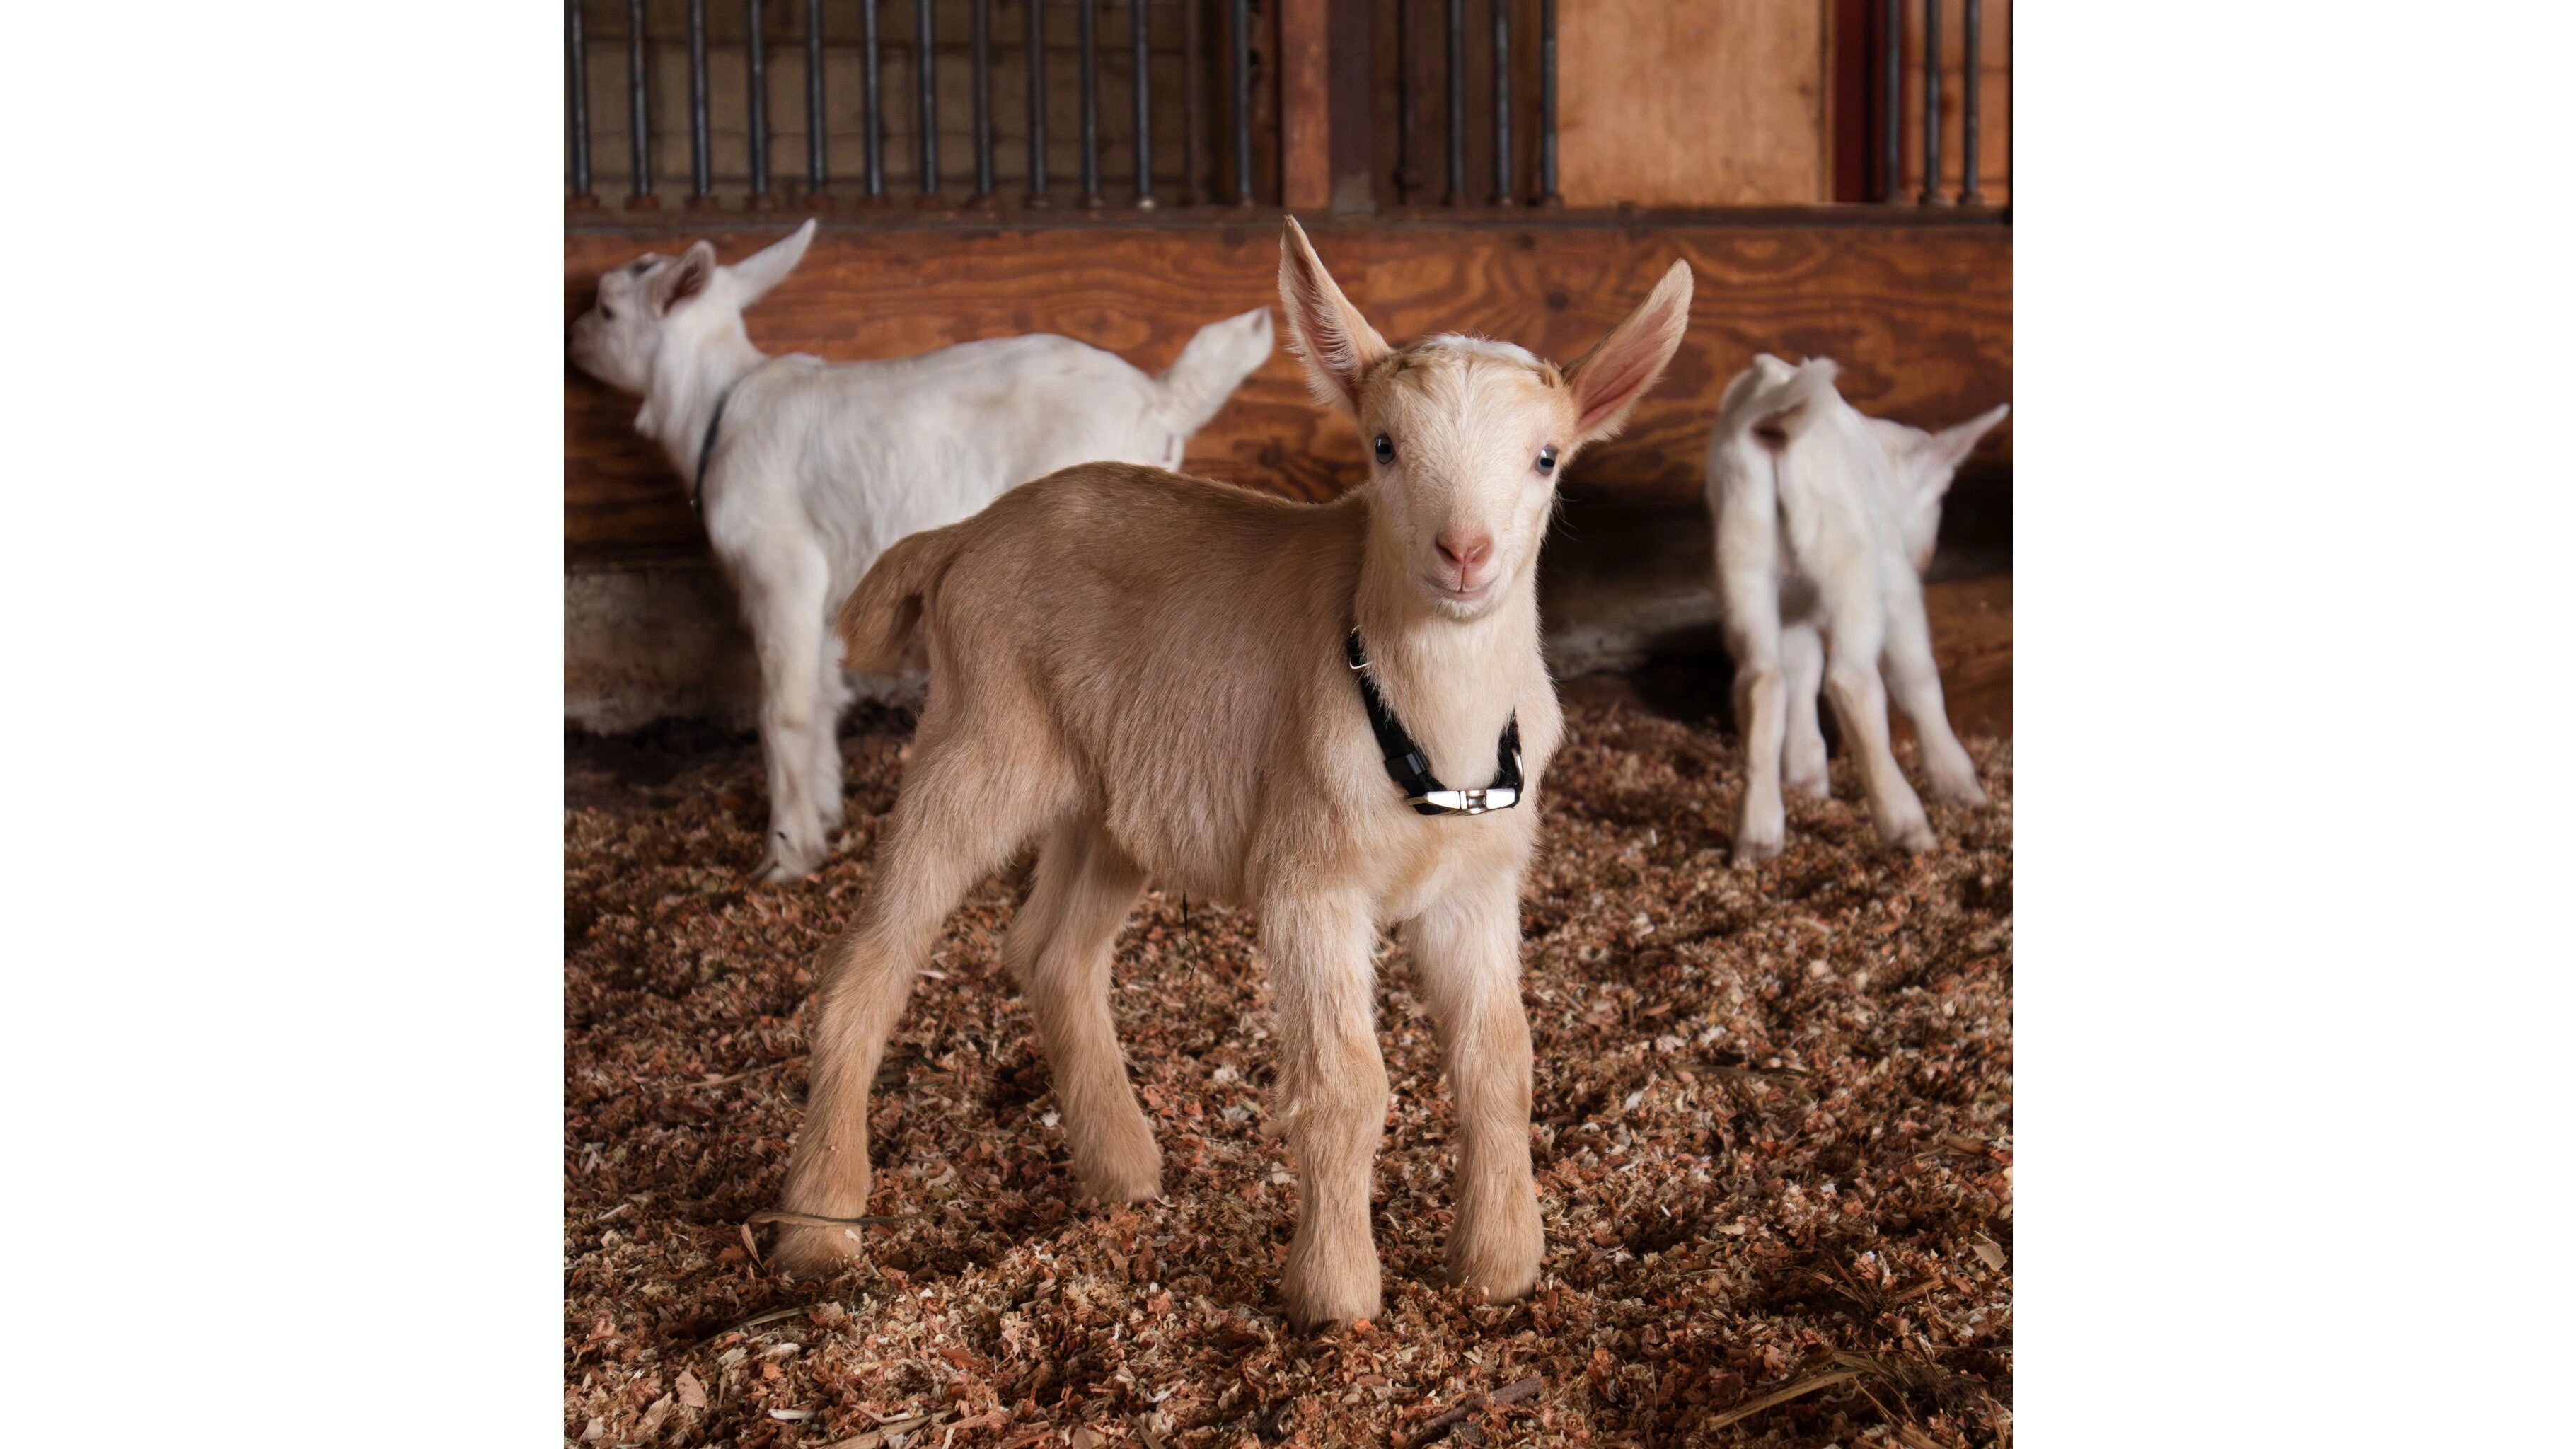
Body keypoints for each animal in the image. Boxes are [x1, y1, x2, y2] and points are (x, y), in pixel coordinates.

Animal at [567, 220, 1275, 880]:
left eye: (605, 308)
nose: (572, 338)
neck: (717, 407)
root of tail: (1158, 401)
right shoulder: (827, 592)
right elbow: (822, 696)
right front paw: (822, 817)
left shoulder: (783, 568)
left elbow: (783, 711)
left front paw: (786, 856)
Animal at [770, 220, 1695, 1328]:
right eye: (1382, 446)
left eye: (1546, 457)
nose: (1462, 552)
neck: (1432, 726)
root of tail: (960, 539)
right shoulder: (1309, 881)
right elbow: (1347, 1085)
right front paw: (1335, 1295)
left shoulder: (1477, 885)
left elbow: (1498, 1063)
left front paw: (1500, 1266)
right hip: (976, 748)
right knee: (868, 962)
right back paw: (820, 1223)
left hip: (1112, 804)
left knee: (1052, 951)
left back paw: (1123, 1172)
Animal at [1706, 354, 2009, 863]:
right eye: (1938, 500)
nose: (1926, 554)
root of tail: (1774, 417)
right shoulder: (1896, 582)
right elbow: (1915, 676)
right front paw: (1958, 782)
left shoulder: (1795, 603)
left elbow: (1801, 671)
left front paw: (1806, 778)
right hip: (1847, 557)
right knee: (1851, 678)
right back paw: (1905, 822)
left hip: (1743, 546)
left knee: (1761, 677)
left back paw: (1758, 834)